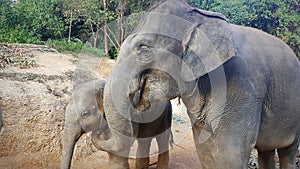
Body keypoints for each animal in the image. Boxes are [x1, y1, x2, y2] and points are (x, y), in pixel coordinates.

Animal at [97, 0, 298, 169]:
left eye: (143, 48)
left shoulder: (243, 86)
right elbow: (205, 147)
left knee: (288, 151)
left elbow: (230, 153)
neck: (201, 17)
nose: (98, 135)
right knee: (266, 150)